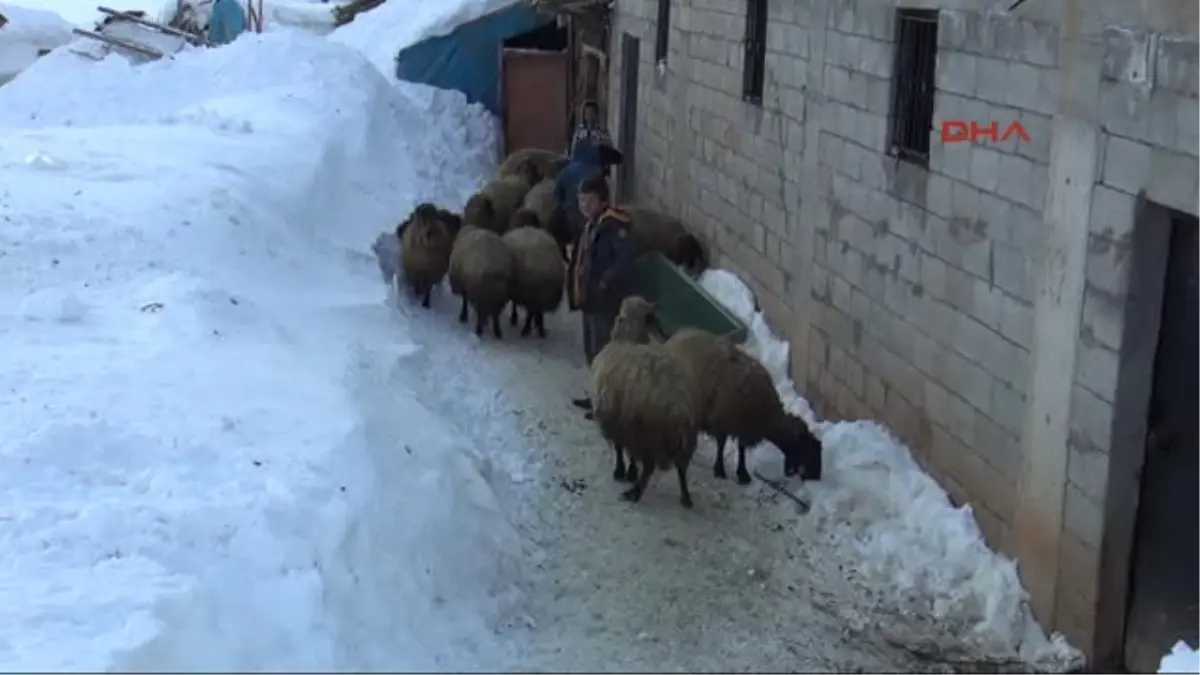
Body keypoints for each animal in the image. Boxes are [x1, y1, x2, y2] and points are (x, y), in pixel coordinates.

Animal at [588, 294, 700, 504]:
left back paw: (635, 492)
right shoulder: (625, 422)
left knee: (649, 467)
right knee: (681, 467)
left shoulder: (615, 417)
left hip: (650, 433)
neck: (627, 339)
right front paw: (629, 471)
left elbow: (619, 448)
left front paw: (621, 471)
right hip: (683, 438)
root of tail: (678, 406)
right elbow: (628, 452)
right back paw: (685, 496)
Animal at [662, 329, 820, 480]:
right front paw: (720, 469)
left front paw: (742, 474)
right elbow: (722, 444)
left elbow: (741, 448)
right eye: (808, 449)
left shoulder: (743, 426)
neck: (768, 415)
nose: (815, 477)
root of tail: (676, 337)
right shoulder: (724, 419)